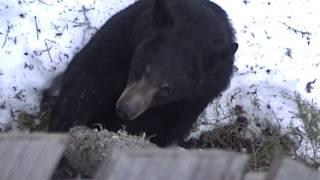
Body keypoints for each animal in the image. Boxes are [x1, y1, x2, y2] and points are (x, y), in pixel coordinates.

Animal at [47, 0, 238, 147]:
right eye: (141, 68)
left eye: (166, 89)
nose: (125, 110)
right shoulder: (121, 41)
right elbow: (88, 79)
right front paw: (67, 121)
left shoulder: (195, 98)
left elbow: (165, 128)